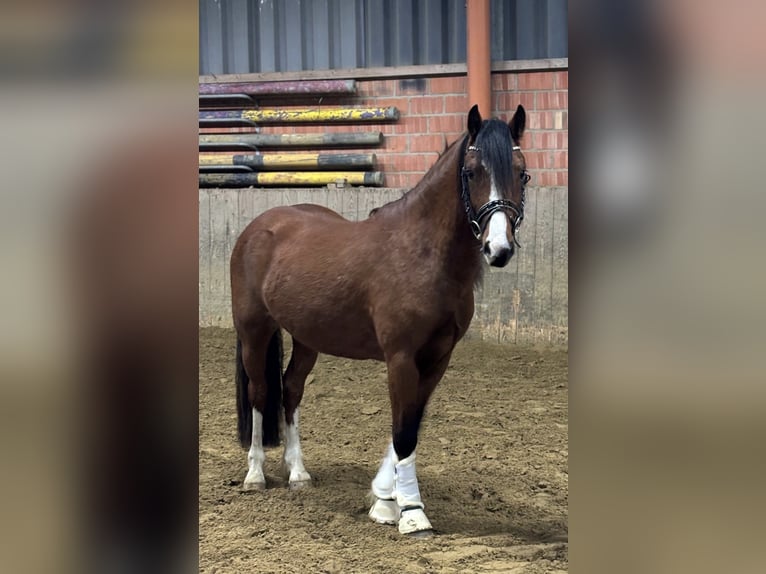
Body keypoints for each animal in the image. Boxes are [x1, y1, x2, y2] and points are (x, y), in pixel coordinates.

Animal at [230, 104, 529, 537]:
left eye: (522, 173)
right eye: (472, 172)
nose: (499, 248)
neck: (422, 254)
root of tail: (259, 226)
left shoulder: (437, 360)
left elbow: (411, 426)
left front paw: (385, 501)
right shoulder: (400, 357)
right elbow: (402, 432)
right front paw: (411, 513)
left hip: (307, 339)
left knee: (291, 389)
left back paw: (298, 473)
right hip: (254, 330)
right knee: (259, 392)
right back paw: (255, 475)